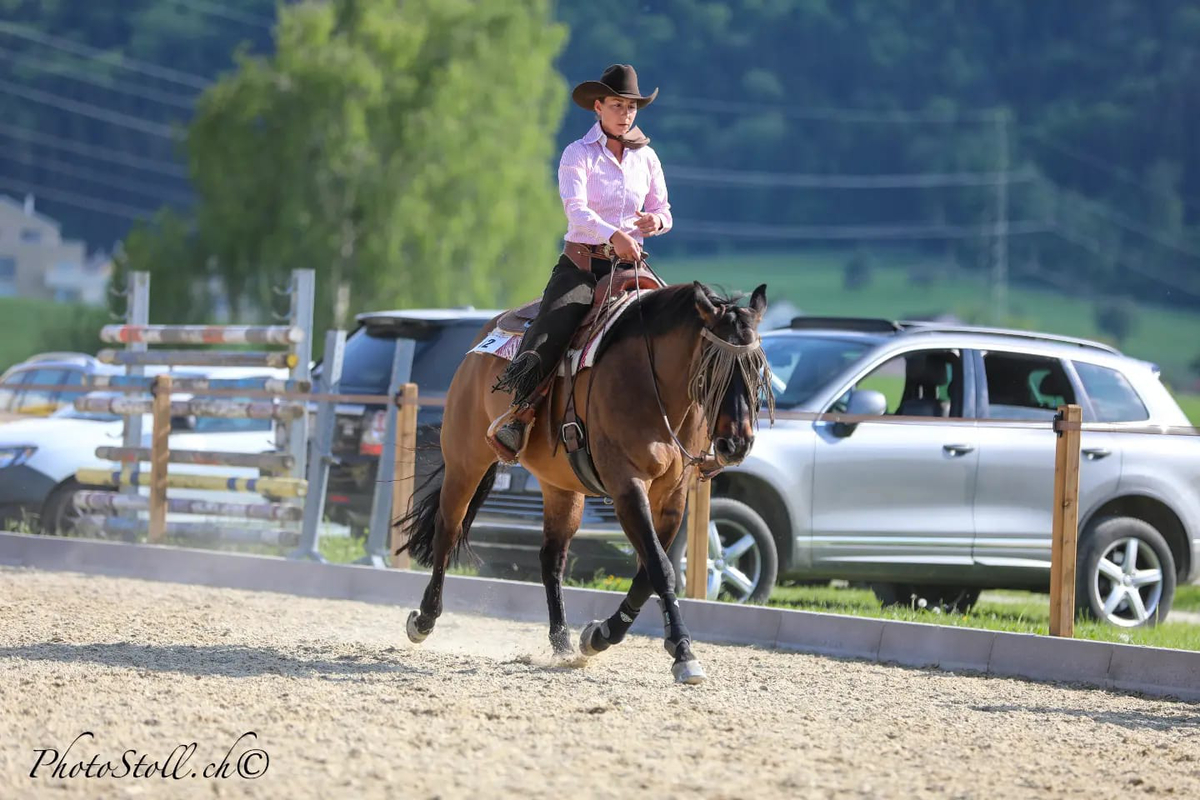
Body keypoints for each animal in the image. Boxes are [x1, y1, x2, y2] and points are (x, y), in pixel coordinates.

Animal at [393, 280, 768, 681]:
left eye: (757, 370)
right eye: (713, 368)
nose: (737, 443)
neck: (652, 385)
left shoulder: (673, 497)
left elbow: (648, 572)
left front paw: (600, 635)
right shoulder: (626, 486)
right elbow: (661, 568)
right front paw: (683, 651)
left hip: (560, 486)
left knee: (551, 558)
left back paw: (562, 643)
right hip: (465, 460)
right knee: (447, 530)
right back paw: (424, 620)